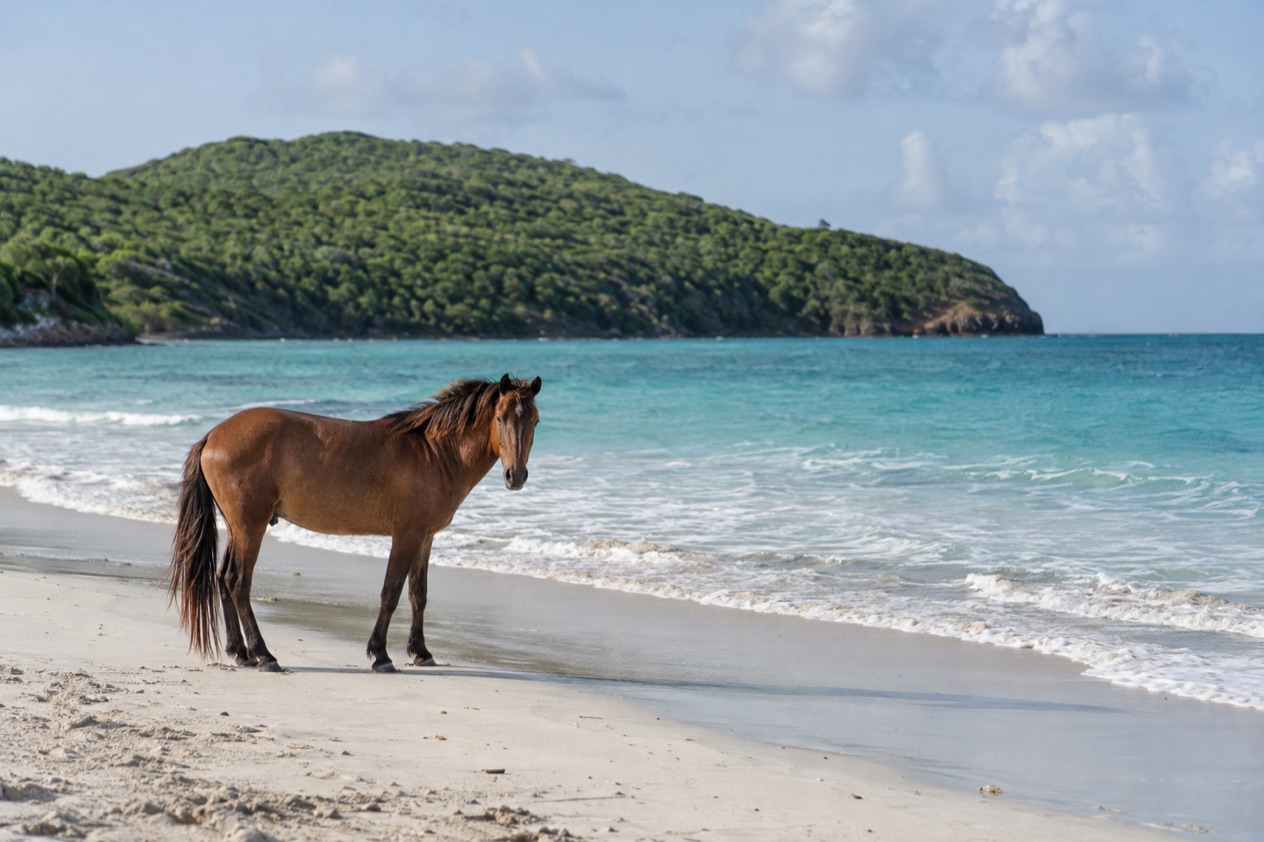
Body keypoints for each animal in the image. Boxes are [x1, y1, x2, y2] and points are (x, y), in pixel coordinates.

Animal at [167, 373, 541, 673]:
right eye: (499, 417)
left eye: (535, 421)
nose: (516, 476)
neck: (434, 452)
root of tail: (213, 435)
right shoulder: (406, 535)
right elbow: (391, 592)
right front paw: (381, 655)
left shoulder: (425, 538)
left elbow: (418, 594)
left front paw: (421, 652)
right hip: (250, 526)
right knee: (238, 581)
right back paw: (264, 655)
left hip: (237, 527)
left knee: (222, 579)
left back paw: (240, 653)